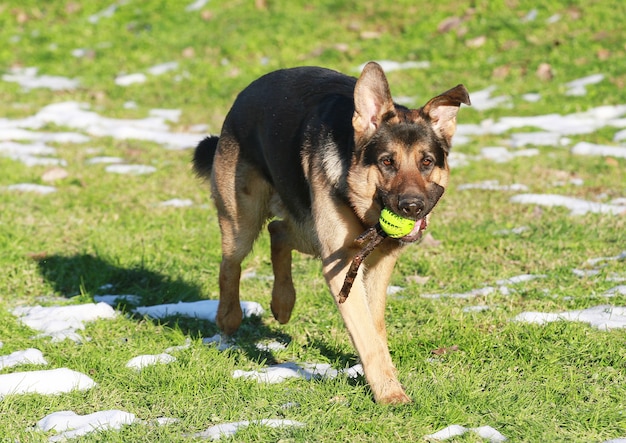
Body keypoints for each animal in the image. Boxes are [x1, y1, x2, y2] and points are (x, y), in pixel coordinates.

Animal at [193, 62, 466, 406]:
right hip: (244, 221)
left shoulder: (377, 264)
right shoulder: (342, 266)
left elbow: (375, 326)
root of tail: (245, 92)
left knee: (277, 230)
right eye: (387, 161)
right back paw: (229, 318)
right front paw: (390, 393)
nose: (412, 207)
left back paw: (283, 303)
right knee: (231, 263)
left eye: (427, 162)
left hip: (309, 232)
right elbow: (367, 334)